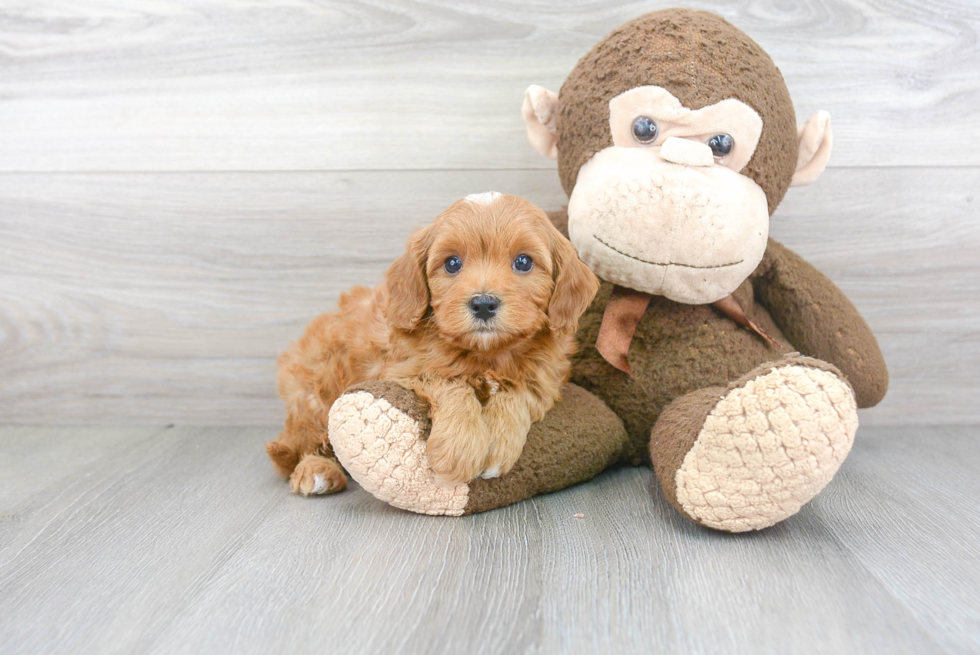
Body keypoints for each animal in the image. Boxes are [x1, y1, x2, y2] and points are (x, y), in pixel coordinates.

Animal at [264, 195, 596, 498]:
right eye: (452, 263)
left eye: (524, 262)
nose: (483, 304)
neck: (486, 354)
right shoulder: (401, 369)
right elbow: (450, 382)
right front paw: (459, 449)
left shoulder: (545, 377)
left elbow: (519, 392)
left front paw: (500, 445)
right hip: (315, 390)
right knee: (305, 443)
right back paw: (316, 471)